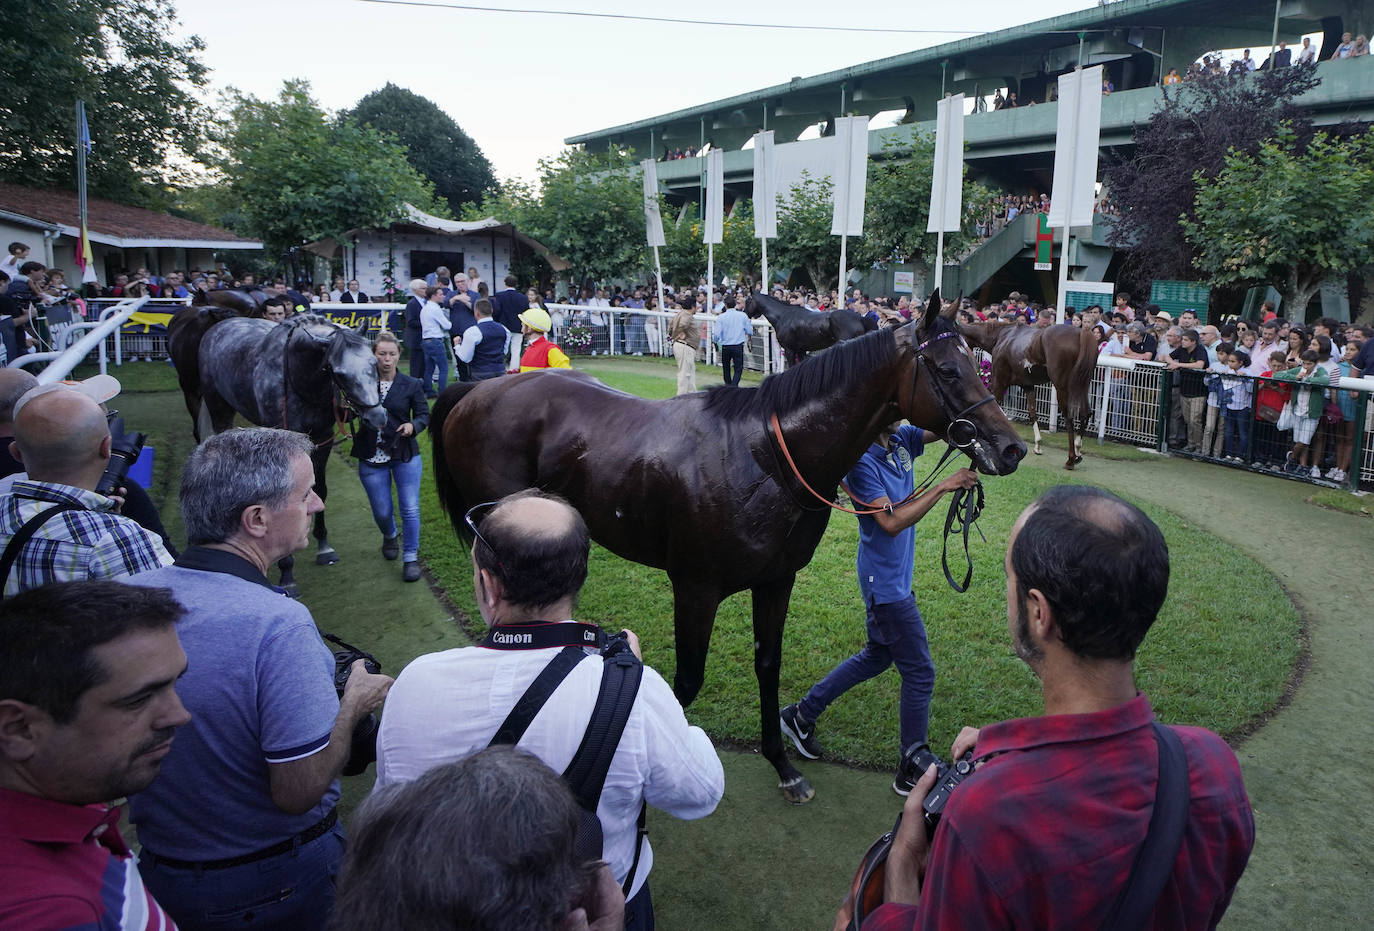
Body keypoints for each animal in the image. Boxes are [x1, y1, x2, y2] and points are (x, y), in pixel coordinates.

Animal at [171, 313, 390, 590]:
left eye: (374, 362)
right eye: (339, 372)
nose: (377, 417)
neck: (302, 381)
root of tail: (218, 325)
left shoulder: (322, 438)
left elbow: (319, 490)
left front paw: (324, 546)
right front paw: (286, 571)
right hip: (217, 405)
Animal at [434, 295, 1027, 807]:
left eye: (978, 363)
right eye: (947, 371)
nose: (1011, 448)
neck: (764, 457)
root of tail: (478, 392)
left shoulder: (777, 580)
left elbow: (768, 664)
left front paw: (783, 764)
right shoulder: (695, 588)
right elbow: (687, 681)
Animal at [961, 322, 1099, 469]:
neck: (1002, 336)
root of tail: (1081, 332)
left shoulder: (999, 383)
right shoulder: (1028, 386)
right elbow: (1032, 413)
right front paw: (1038, 445)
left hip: (1062, 386)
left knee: (1069, 417)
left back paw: (1071, 459)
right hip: (1082, 383)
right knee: (1086, 412)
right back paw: (1078, 451)